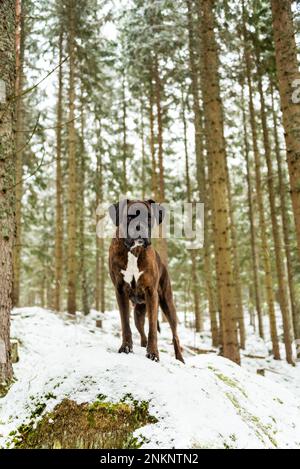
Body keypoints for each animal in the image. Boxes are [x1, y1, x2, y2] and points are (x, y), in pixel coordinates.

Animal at [107, 198, 183, 362]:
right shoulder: (120, 291)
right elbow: (125, 324)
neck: (134, 251)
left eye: (148, 217)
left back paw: (180, 358)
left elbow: (152, 328)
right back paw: (142, 345)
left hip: (168, 304)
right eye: (129, 217)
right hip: (138, 313)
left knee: (175, 335)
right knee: (141, 331)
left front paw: (153, 353)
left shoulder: (151, 293)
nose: (139, 227)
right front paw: (126, 347)